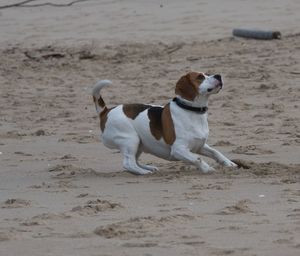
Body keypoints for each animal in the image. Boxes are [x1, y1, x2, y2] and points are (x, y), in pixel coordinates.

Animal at [91, 72, 237, 176]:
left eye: (208, 73)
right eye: (200, 77)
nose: (218, 75)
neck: (191, 111)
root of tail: (106, 111)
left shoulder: (199, 146)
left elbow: (216, 152)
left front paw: (229, 164)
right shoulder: (178, 149)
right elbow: (197, 159)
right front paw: (207, 169)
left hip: (139, 144)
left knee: (134, 161)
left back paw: (148, 167)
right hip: (130, 140)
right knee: (128, 163)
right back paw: (144, 172)